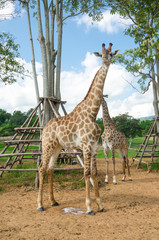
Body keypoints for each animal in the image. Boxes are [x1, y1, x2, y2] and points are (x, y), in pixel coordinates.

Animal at [37, 42, 119, 215]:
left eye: (111, 54)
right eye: (101, 54)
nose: (106, 61)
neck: (92, 113)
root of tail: (45, 127)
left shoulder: (94, 146)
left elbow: (94, 173)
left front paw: (100, 205)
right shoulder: (86, 146)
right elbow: (86, 172)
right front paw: (89, 207)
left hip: (57, 147)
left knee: (50, 169)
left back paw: (53, 201)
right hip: (47, 145)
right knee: (41, 168)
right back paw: (40, 204)